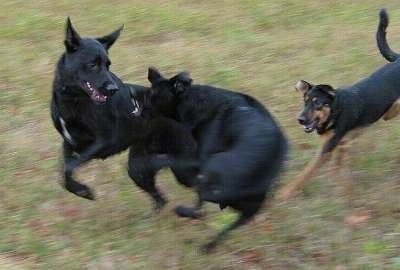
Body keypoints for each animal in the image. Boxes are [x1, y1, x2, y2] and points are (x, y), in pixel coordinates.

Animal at [50, 17, 198, 210]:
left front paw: (83, 190)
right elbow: (65, 169)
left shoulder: (104, 141)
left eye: (108, 65)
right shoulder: (69, 142)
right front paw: (80, 190)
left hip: (182, 168)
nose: (113, 89)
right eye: (92, 64)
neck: (73, 99)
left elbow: (69, 167)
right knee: (161, 199)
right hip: (138, 167)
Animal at [147, 67, 288, 251]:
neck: (195, 101)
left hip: (214, 166)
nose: (135, 110)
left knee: (200, 209)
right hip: (248, 210)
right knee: (215, 222)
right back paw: (207, 246)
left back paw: (182, 210)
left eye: (153, 97)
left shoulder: (199, 160)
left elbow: (171, 159)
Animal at [278, 8, 400, 199]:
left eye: (317, 103)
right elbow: (338, 163)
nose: (300, 119)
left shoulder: (326, 149)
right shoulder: (337, 143)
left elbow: (306, 172)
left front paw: (286, 192)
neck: (335, 111)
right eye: (305, 102)